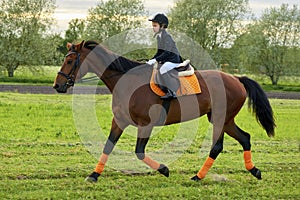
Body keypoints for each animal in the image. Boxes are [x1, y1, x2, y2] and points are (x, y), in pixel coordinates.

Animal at [52, 40, 276, 183]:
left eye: (70, 61)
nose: (57, 86)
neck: (126, 81)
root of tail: (236, 78)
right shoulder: (120, 121)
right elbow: (108, 147)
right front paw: (94, 175)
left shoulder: (146, 124)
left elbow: (139, 152)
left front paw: (164, 169)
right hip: (224, 119)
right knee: (245, 138)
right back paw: (254, 171)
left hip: (221, 118)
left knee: (217, 146)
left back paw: (198, 177)